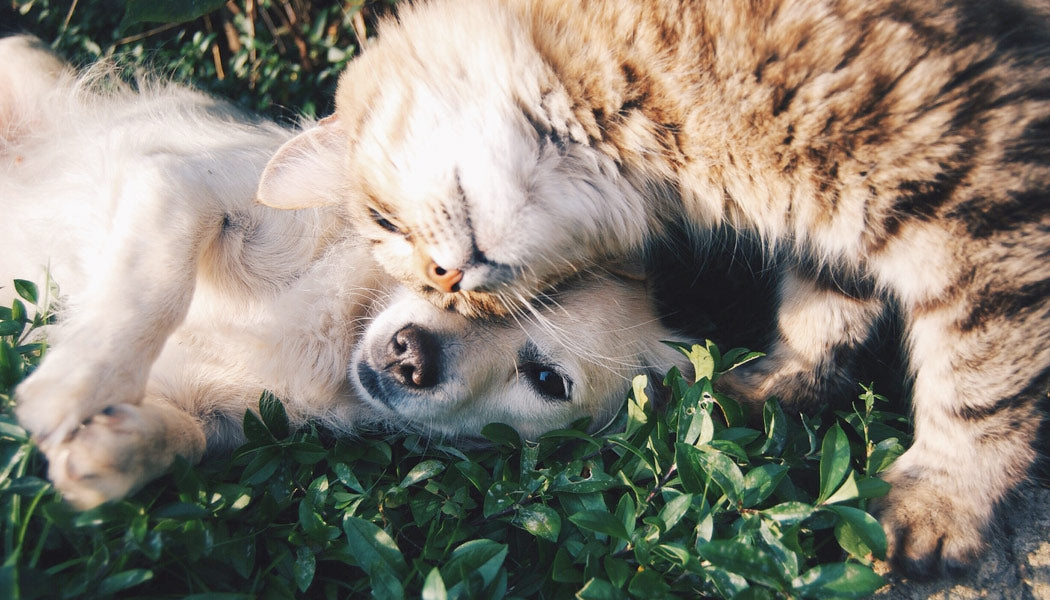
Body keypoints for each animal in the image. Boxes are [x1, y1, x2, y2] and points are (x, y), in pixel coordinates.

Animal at [254, 0, 1050, 575]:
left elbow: (981, 383)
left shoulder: (981, 197)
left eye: (385, 222)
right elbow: (821, 314)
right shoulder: (839, 221)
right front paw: (773, 388)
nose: (447, 282)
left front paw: (943, 500)